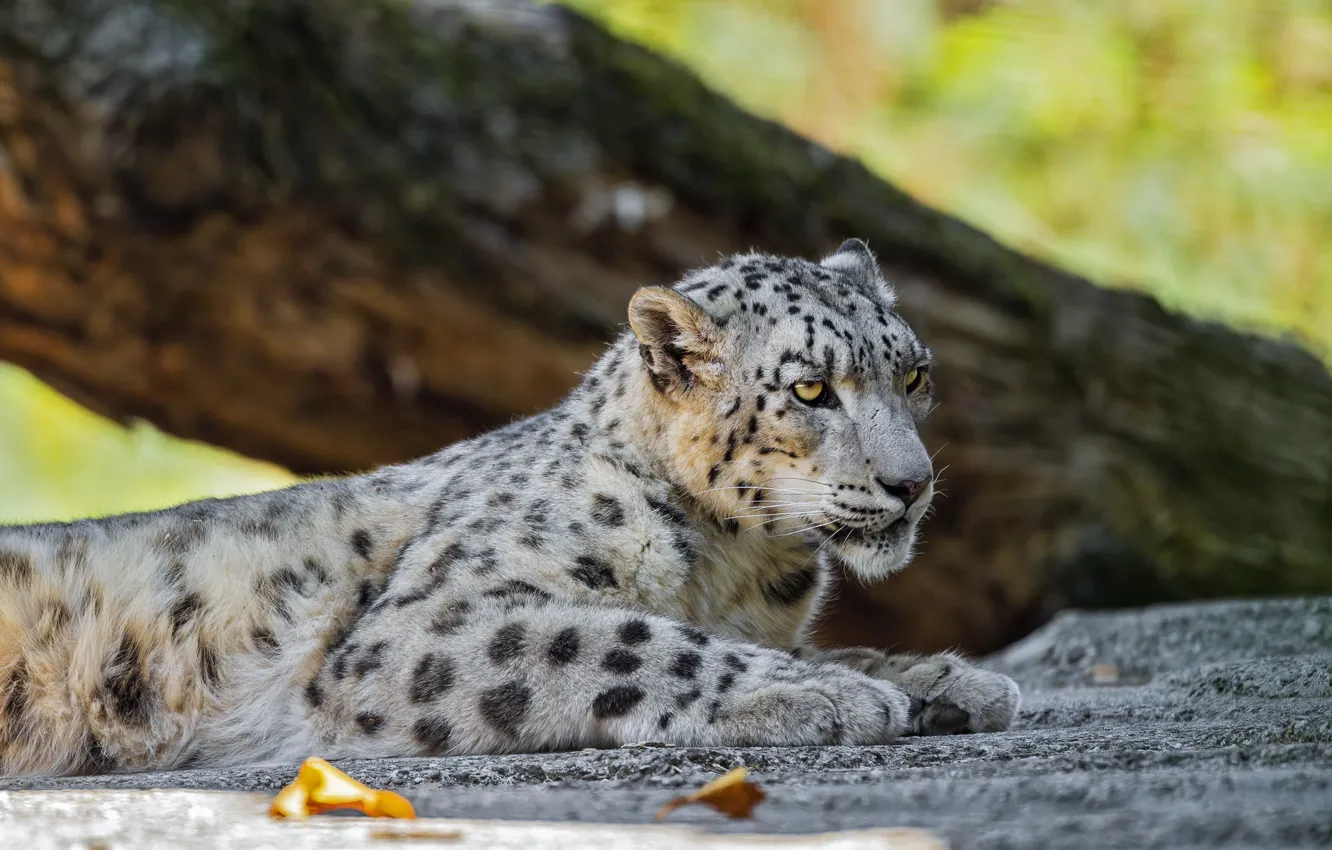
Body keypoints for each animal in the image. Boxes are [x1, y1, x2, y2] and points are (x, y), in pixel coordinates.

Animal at [0, 239, 1019, 778]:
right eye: (811, 389)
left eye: (914, 374)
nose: (913, 482)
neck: (741, 567)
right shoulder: (430, 624)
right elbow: (628, 637)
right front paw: (835, 694)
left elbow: (811, 643)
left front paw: (940, 678)